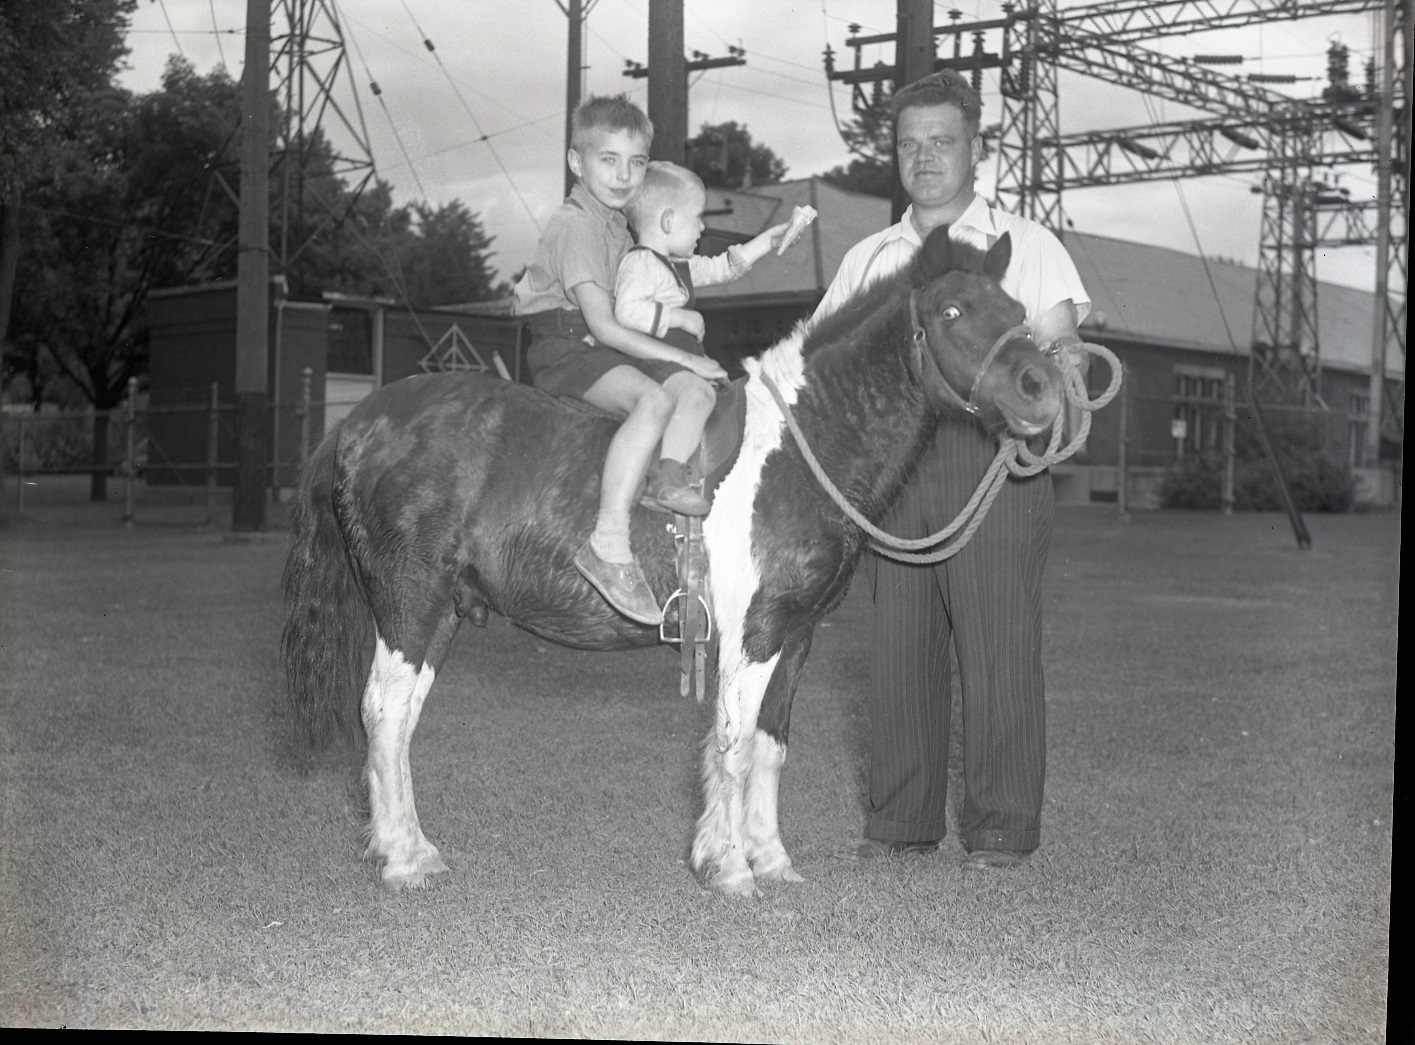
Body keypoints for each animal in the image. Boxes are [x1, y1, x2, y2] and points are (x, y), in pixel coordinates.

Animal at [278, 224, 1064, 893]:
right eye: (953, 309)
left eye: (1018, 309)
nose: (1041, 390)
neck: (795, 446)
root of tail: (358, 423)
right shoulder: (752, 631)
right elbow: (733, 742)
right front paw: (730, 868)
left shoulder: (795, 634)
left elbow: (770, 745)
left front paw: (770, 860)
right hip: (408, 604)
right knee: (383, 712)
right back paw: (400, 861)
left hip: (438, 613)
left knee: (401, 718)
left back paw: (413, 849)